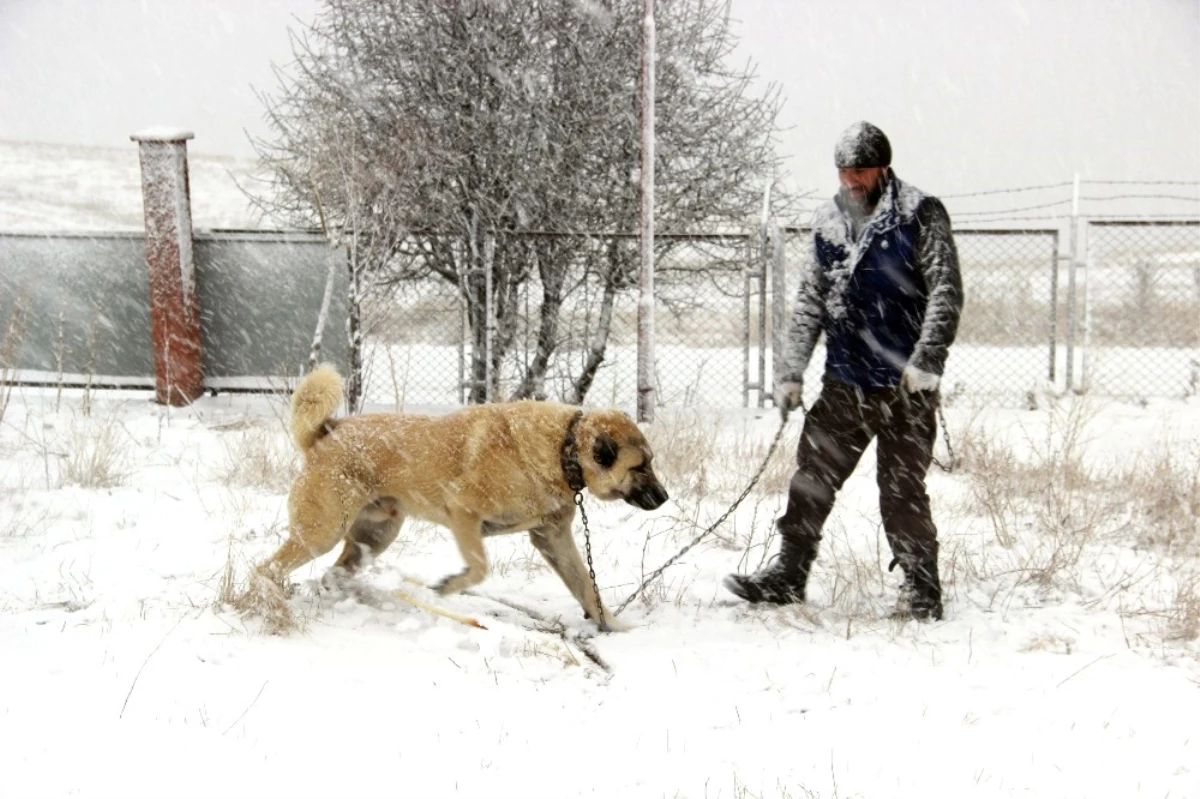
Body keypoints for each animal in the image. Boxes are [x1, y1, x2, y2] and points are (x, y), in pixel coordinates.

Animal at [248, 359, 672, 628]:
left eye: (650, 462)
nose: (665, 497)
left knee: (333, 573)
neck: (562, 449)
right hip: (322, 532)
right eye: (640, 467)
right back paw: (271, 606)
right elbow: (480, 567)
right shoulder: (464, 512)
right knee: (266, 569)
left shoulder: (552, 537)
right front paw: (448, 586)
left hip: (377, 534)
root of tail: (325, 433)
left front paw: (615, 629)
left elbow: (586, 587)